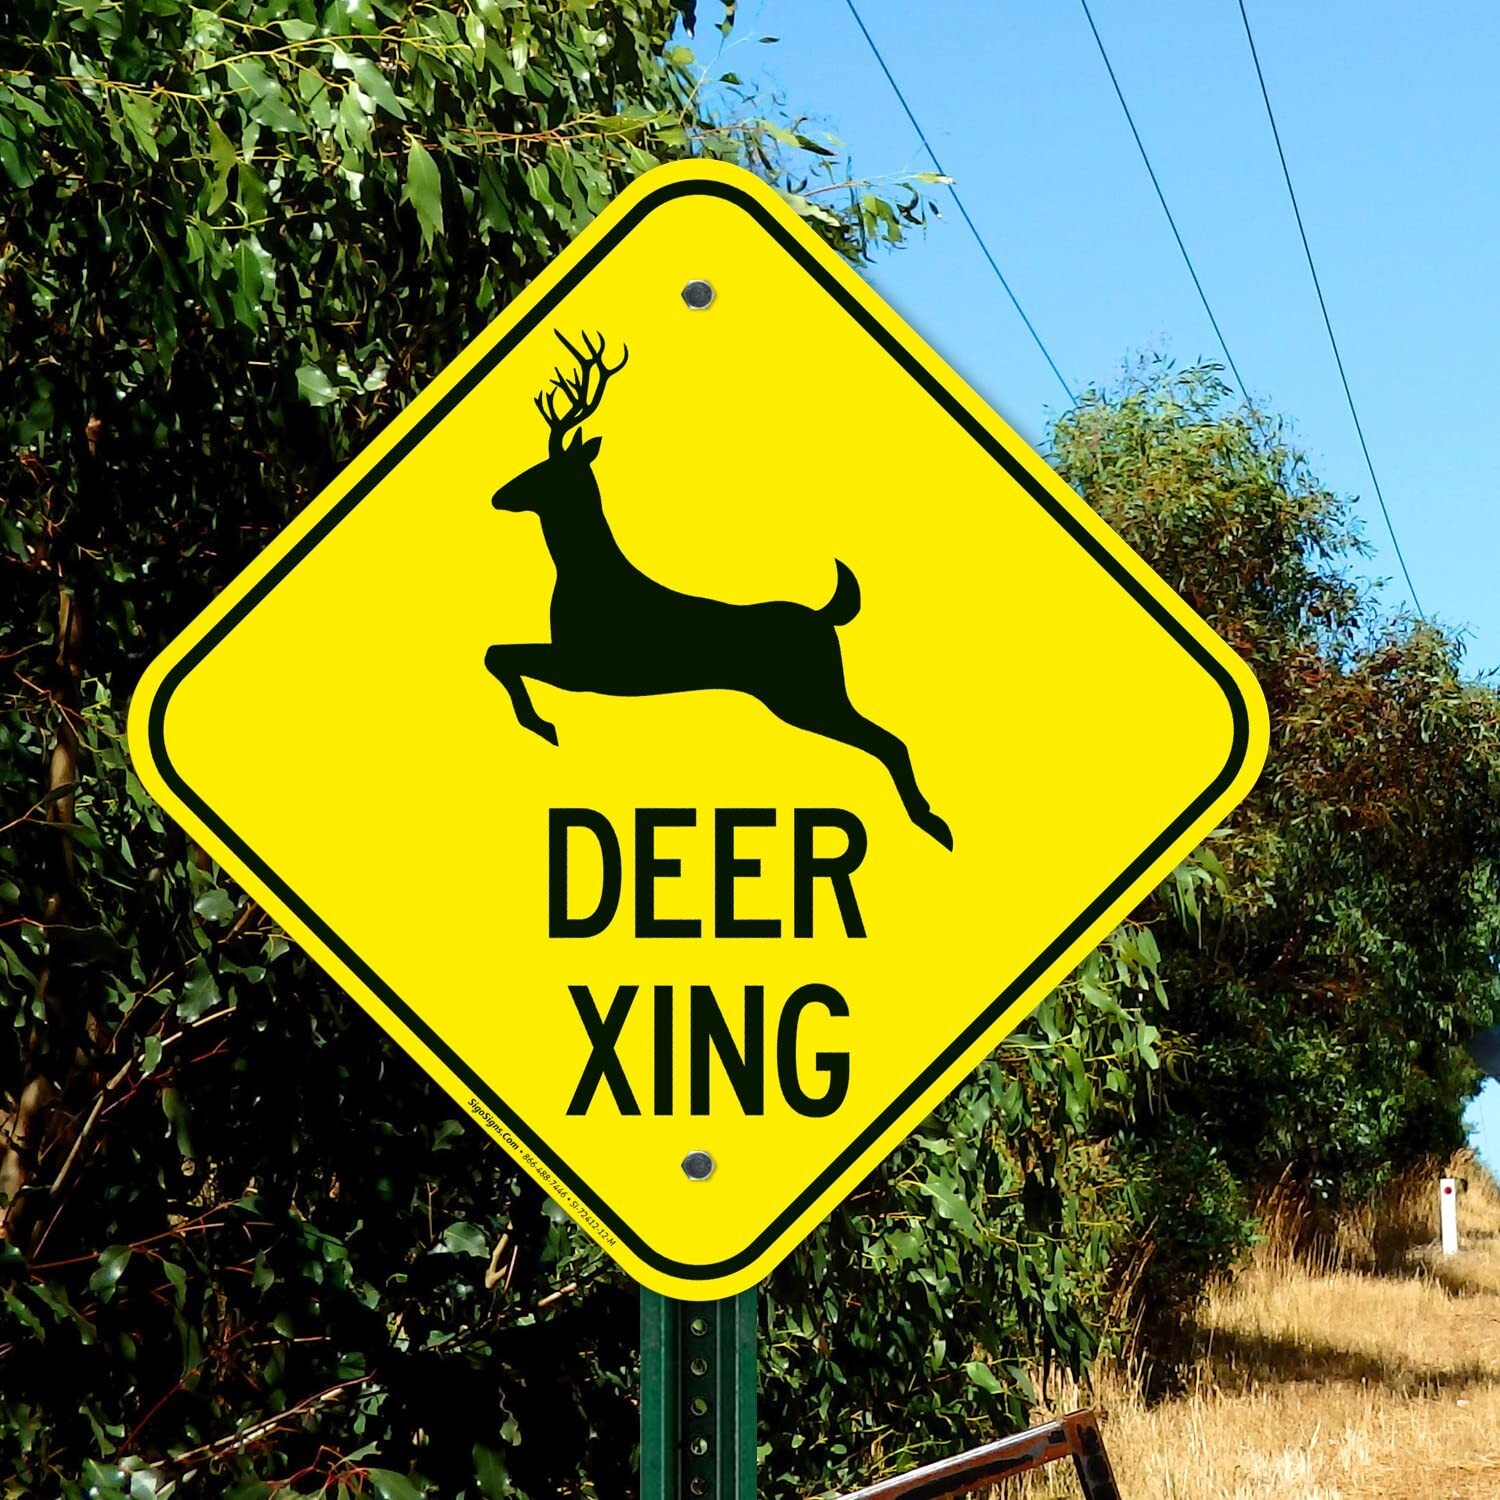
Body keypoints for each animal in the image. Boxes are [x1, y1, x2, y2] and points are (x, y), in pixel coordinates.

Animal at [484, 330, 953, 850]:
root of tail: (823, 616)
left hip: (809, 694)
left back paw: (934, 823)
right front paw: (540, 722)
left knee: (889, 740)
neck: (585, 575)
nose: (498, 495)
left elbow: (498, 655)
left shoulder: (586, 665)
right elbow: (497, 654)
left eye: (545, 470)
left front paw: (542, 725)